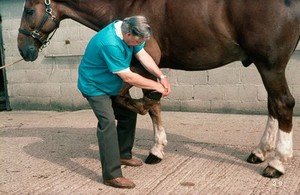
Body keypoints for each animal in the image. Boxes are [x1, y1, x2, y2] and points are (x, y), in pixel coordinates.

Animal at [17, 0, 298, 178]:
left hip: (270, 65)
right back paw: (260, 152)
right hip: (266, 66)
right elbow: (152, 105)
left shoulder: (141, 63)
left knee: (283, 104)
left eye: (29, 10)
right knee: (273, 105)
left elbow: (136, 100)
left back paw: (277, 164)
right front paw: (158, 146)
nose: (23, 49)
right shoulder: (147, 66)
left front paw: (154, 147)